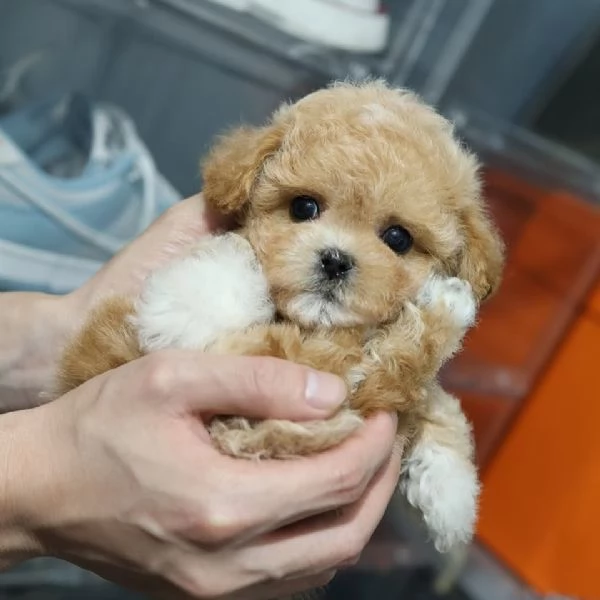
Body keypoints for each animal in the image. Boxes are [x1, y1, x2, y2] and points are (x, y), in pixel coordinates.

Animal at [57, 79, 506, 552]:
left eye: (398, 238)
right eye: (303, 208)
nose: (335, 260)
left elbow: (434, 401)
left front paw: (452, 494)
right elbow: (235, 255)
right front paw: (184, 310)